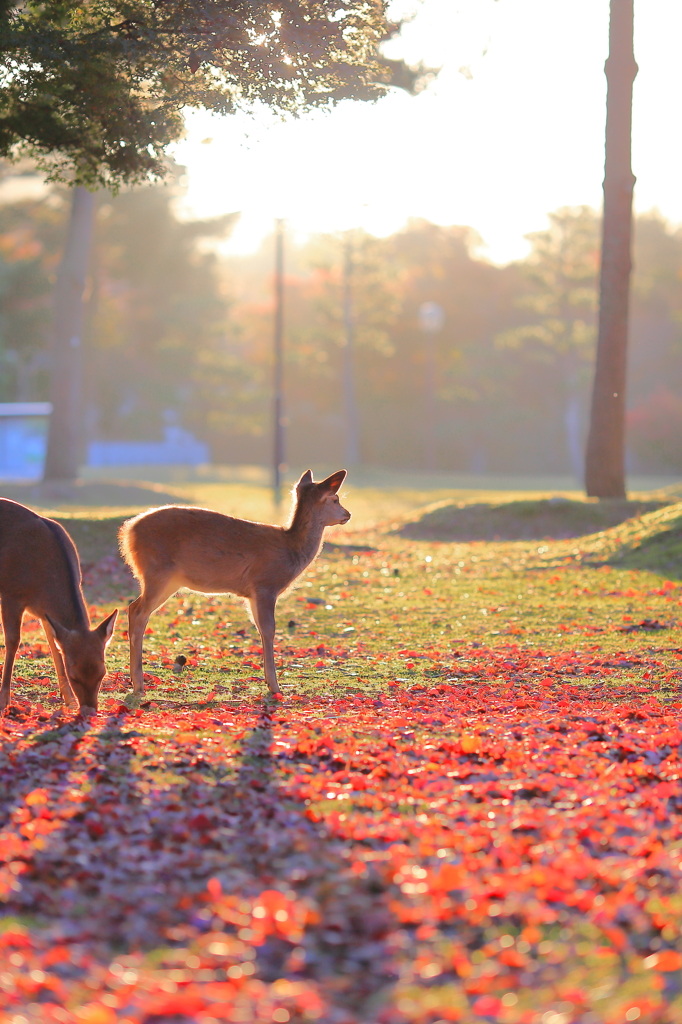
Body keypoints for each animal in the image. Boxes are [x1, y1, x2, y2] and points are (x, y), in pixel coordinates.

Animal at [0, 497, 118, 712]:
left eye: (102, 672)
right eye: (74, 676)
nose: (89, 709)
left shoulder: (45, 614)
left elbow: (53, 644)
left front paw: (69, 698)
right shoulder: (11, 593)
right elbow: (13, 641)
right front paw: (4, 700)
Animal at [118, 468, 348, 696]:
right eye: (335, 499)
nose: (348, 514)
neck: (291, 550)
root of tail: (128, 531)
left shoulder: (253, 594)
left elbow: (260, 628)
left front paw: (268, 681)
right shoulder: (265, 584)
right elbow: (269, 630)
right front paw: (275, 687)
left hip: (168, 580)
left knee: (133, 607)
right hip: (157, 572)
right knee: (139, 613)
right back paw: (139, 684)